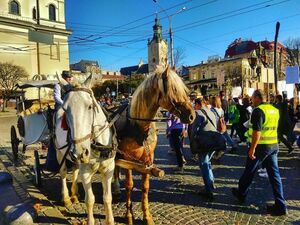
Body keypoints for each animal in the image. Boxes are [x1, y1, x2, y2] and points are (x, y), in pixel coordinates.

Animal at [54, 76, 115, 225]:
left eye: (90, 106)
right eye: (65, 109)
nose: (80, 152)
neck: (98, 143)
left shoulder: (109, 169)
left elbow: (107, 198)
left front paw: (110, 220)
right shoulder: (86, 171)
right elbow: (90, 200)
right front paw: (91, 221)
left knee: (75, 169)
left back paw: (75, 194)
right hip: (60, 152)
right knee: (63, 172)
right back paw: (66, 198)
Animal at [113, 66, 196, 225]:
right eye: (174, 89)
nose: (192, 116)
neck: (139, 126)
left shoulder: (148, 159)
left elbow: (145, 187)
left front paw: (147, 216)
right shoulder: (129, 160)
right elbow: (129, 185)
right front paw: (129, 215)